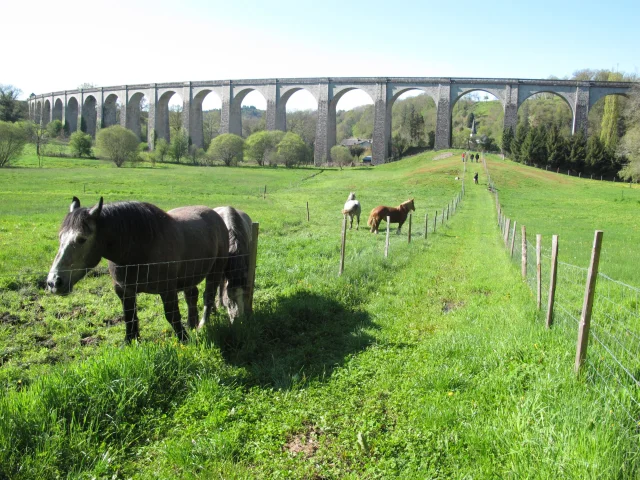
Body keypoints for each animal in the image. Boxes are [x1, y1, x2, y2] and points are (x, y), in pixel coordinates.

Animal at [46, 197, 230, 344]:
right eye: (60, 237)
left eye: (82, 239)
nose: (54, 282)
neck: (140, 248)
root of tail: (215, 215)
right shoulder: (123, 290)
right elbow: (130, 317)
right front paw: (129, 342)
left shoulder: (167, 290)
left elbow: (172, 316)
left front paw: (184, 340)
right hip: (189, 276)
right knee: (192, 296)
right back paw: (192, 324)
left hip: (215, 271)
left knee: (208, 297)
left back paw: (202, 325)